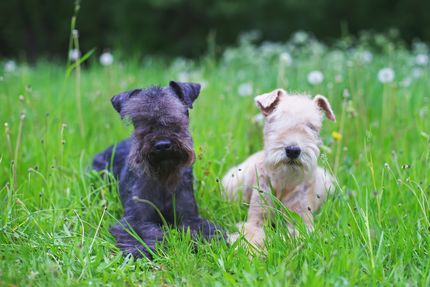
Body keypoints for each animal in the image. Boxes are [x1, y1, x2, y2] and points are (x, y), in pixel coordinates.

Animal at [93, 81, 223, 258]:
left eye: (180, 113)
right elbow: (141, 232)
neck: (163, 176)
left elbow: (202, 229)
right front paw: (140, 248)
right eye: (139, 119)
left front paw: (209, 244)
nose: (162, 145)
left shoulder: (189, 216)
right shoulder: (136, 218)